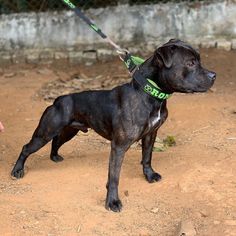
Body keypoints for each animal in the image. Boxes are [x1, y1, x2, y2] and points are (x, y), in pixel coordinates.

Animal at [10, 39, 216, 212]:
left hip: (68, 131)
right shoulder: (119, 147)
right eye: (191, 63)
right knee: (26, 147)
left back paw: (54, 157)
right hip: (45, 133)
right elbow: (114, 176)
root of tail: (58, 99)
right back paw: (17, 170)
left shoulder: (151, 135)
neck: (149, 94)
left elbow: (147, 158)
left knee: (56, 142)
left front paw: (149, 176)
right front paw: (112, 202)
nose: (214, 75)